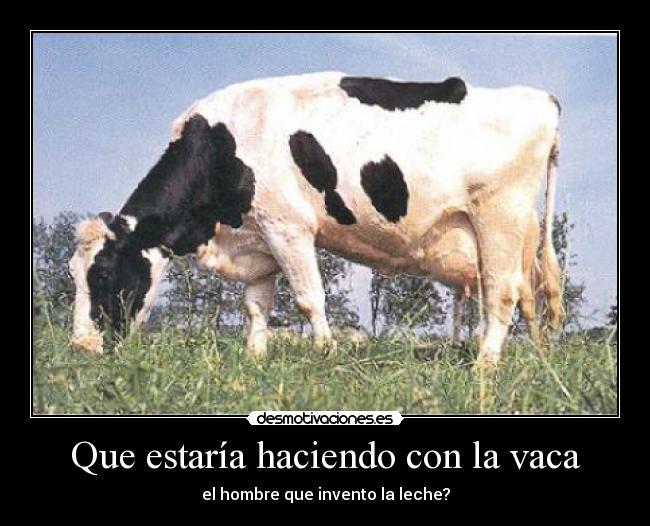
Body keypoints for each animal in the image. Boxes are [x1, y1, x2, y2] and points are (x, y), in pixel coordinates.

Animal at [68, 71, 563, 366]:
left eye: (104, 273)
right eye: (73, 273)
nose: (81, 346)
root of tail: (540, 97)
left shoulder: (287, 226)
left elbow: (310, 298)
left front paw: (325, 351)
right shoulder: (258, 239)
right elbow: (256, 305)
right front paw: (256, 356)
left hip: (500, 217)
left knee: (500, 293)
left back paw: (485, 364)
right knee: (526, 297)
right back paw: (535, 357)